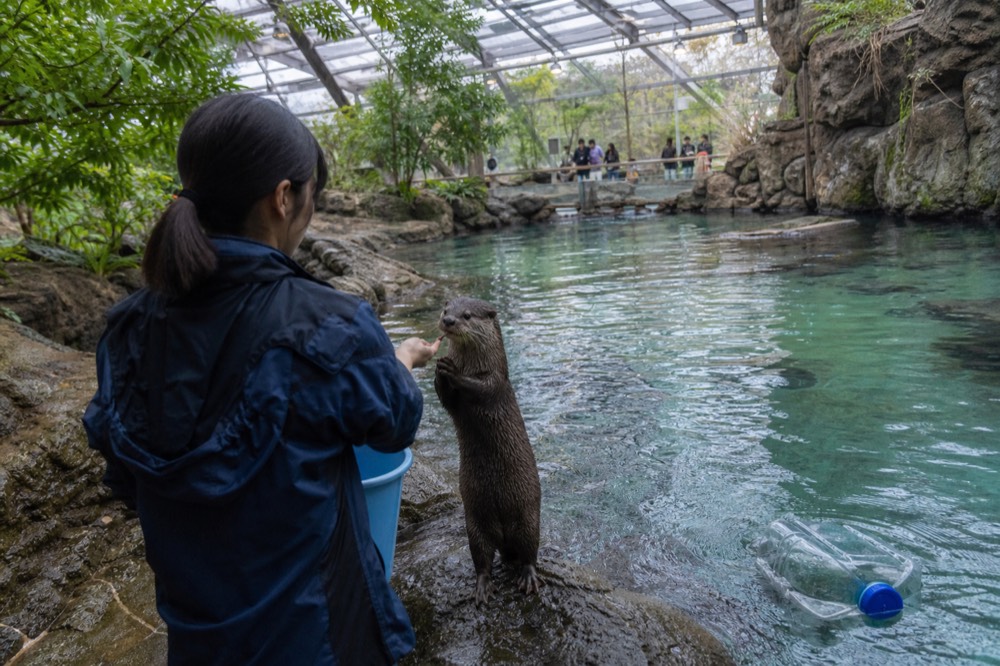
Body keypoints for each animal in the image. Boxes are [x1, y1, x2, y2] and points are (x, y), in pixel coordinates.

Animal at [434, 296, 542, 606]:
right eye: (446, 310)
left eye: (468, 315)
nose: (448, 321)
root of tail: (504, 536)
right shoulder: (453, 403)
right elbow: (445, 398)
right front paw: (438, 369)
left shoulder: (496, 382)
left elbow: (482, 387)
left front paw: (452, 371)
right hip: (475, 523)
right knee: (482, 558)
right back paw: (482, 588)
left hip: (528, 518)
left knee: (529, 552)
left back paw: (528, 577)